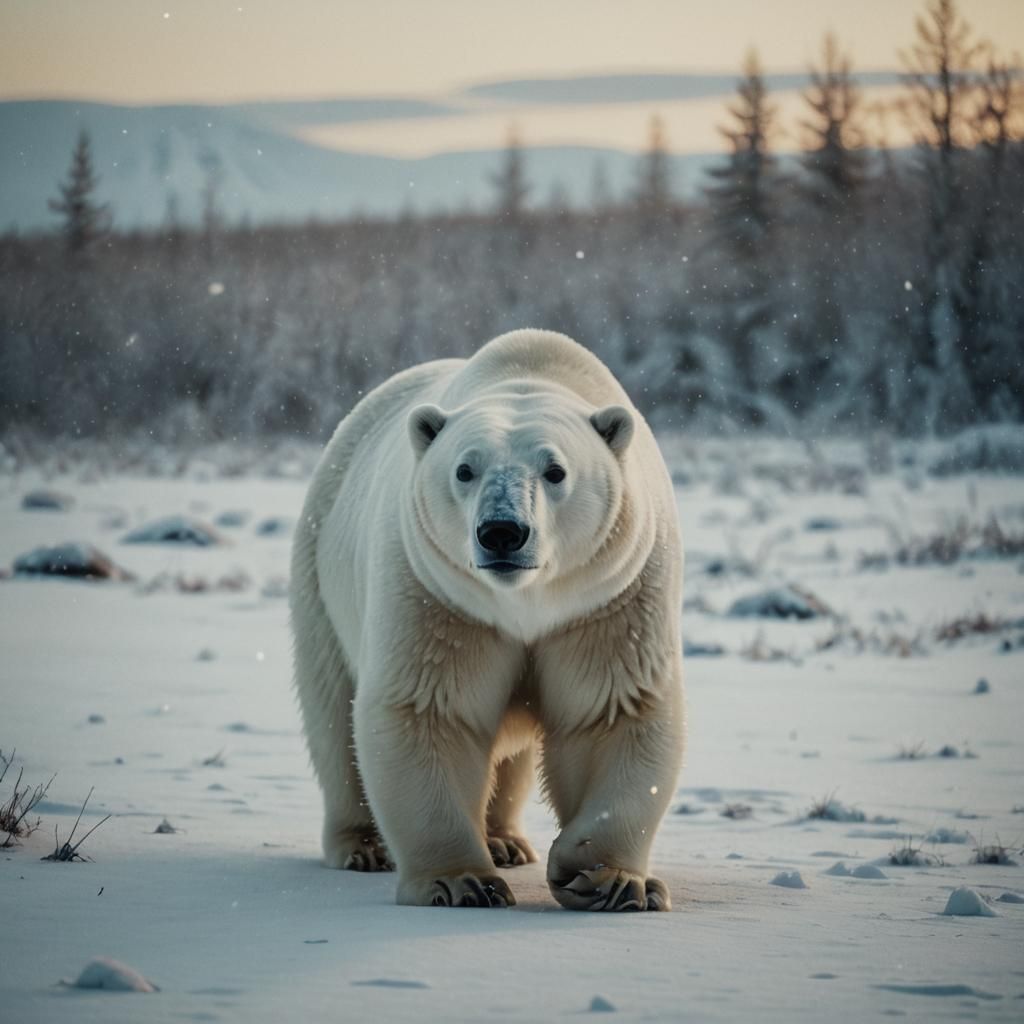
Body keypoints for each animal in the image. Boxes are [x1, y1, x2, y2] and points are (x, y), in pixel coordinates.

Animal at [290, 329, 684, 910]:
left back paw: (506, 841)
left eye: (556, 470)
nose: (502, 531)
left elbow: (612, 710)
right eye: (464, 469)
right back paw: (361, 846)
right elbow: (431, 710)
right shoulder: (439, 598)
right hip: (320, 574)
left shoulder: (608, 599)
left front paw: (605, 879)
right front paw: (462, 882)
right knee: (334, 716)